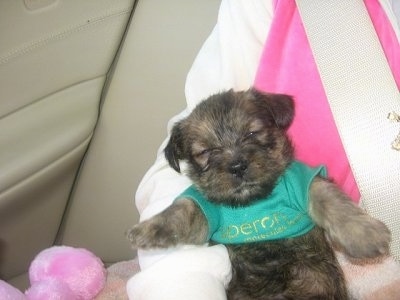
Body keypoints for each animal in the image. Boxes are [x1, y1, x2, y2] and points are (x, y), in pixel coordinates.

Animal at [129, 89, 390, 300]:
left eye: (253, 134)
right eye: (206, 152)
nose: (237, 166)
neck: (253, 201)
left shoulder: (303, 181)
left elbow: (329, 199)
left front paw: (364, 234)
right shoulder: (207, 211)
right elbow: (184, 209)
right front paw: (148, 229)